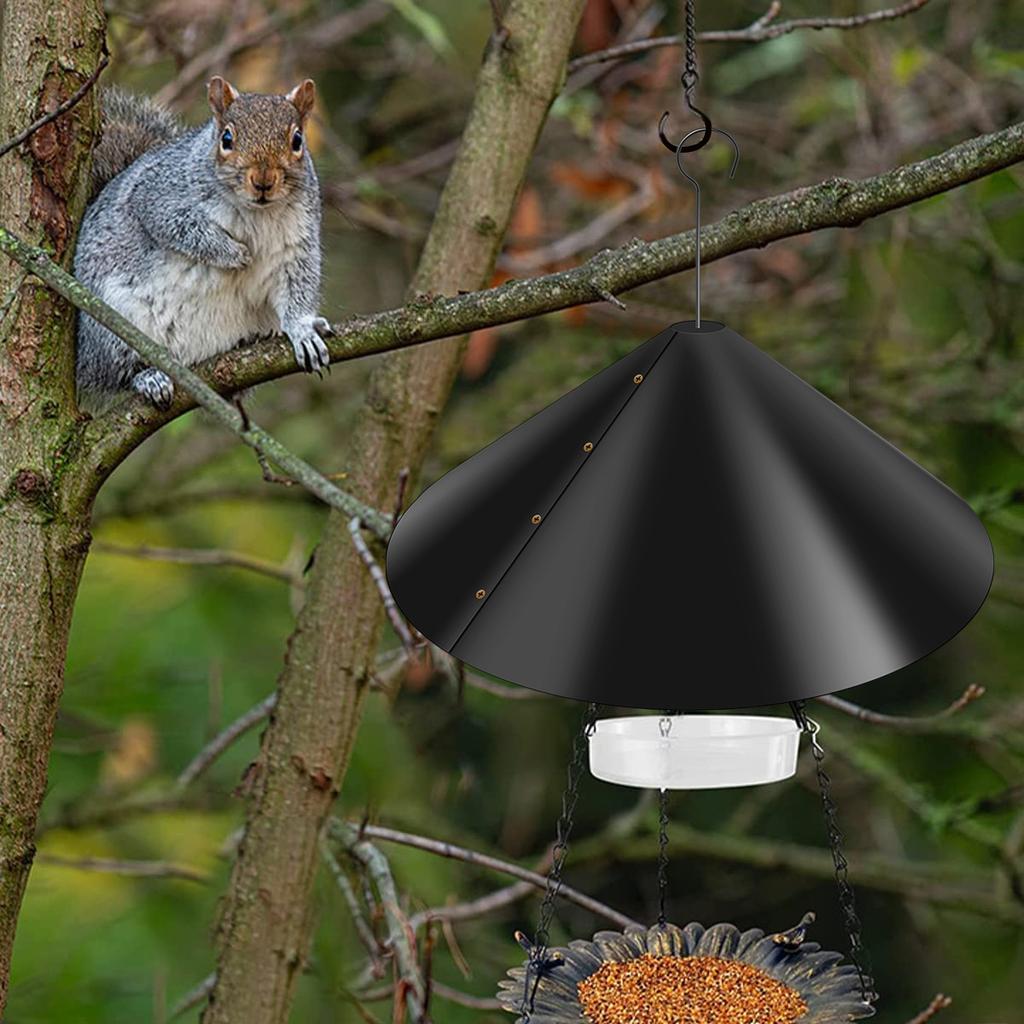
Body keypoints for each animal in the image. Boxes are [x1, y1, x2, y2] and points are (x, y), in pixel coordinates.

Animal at [74, 76, 330, 411]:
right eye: (227, 138)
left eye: (298, 140)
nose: (263, 181)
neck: (256, 213)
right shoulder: (157, 196)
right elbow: (180, 228)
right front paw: (235, 254)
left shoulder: (298, 243)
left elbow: (297, 286)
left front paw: (303, 330)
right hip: (111, 325)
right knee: (117, 372)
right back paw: (149, 378)